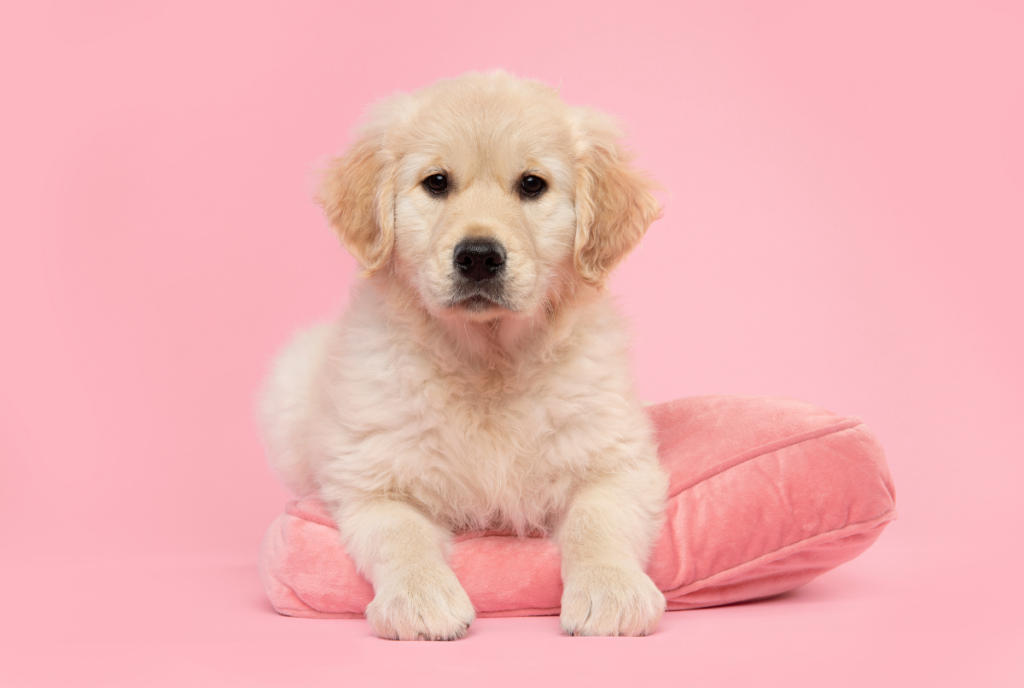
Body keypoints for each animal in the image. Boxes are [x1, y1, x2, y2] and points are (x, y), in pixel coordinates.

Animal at [260, 71, 667, 638]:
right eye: (436, 183)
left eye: (532, 185)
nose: (478, 257)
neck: (487, 358)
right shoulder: (374, 479)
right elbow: (400, 535)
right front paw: (420, 597)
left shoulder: (616, 460)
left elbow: (598, 521)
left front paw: (612, 590)